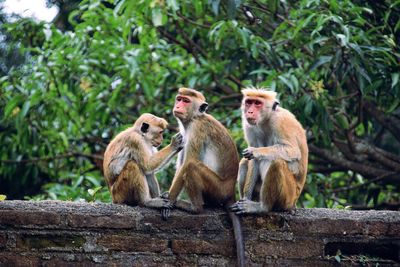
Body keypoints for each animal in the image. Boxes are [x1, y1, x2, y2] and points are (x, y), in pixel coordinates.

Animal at [161, 88, 245, 267]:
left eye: (186, 101)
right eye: (179, 99)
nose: (178, 105)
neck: (194, 118)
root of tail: (230, 192)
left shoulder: (197, 130)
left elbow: (188, 163)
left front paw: (169, 201)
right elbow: (181, 164)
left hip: (217, 189)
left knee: (192, 167)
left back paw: (195, 207)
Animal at [230, 88, 308, 216]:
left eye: (257, 103)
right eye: (249, 102)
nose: (250, 112)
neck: (266, 119)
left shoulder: (280, 121)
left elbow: (293, 151)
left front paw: (255, 151)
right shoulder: (249, 126)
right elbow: (253, 160)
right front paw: (246, 198)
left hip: (289, 197)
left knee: (276, 163)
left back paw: (263, 207)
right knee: (244, 162)